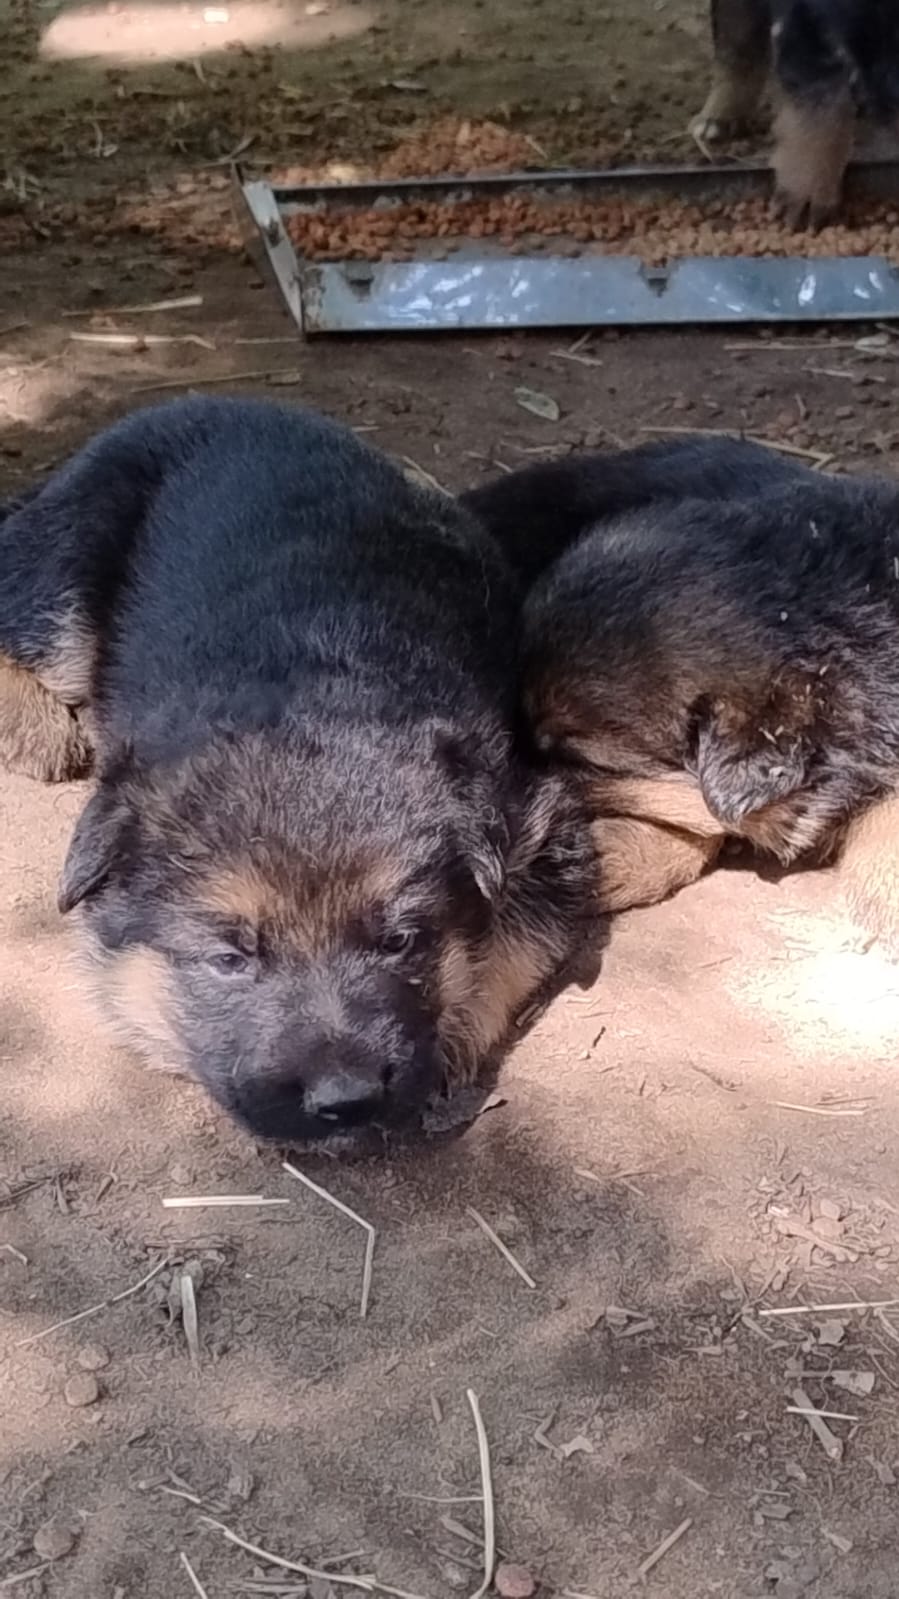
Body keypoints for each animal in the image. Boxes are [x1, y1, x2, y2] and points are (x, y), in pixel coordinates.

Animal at [0, 396, 597, 1146]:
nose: (344, 1099)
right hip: (76, 559)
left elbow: (511, 944)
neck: (311, 691)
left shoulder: (543, 824)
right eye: (231, 959)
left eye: (401, 942)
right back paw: (33, 721)